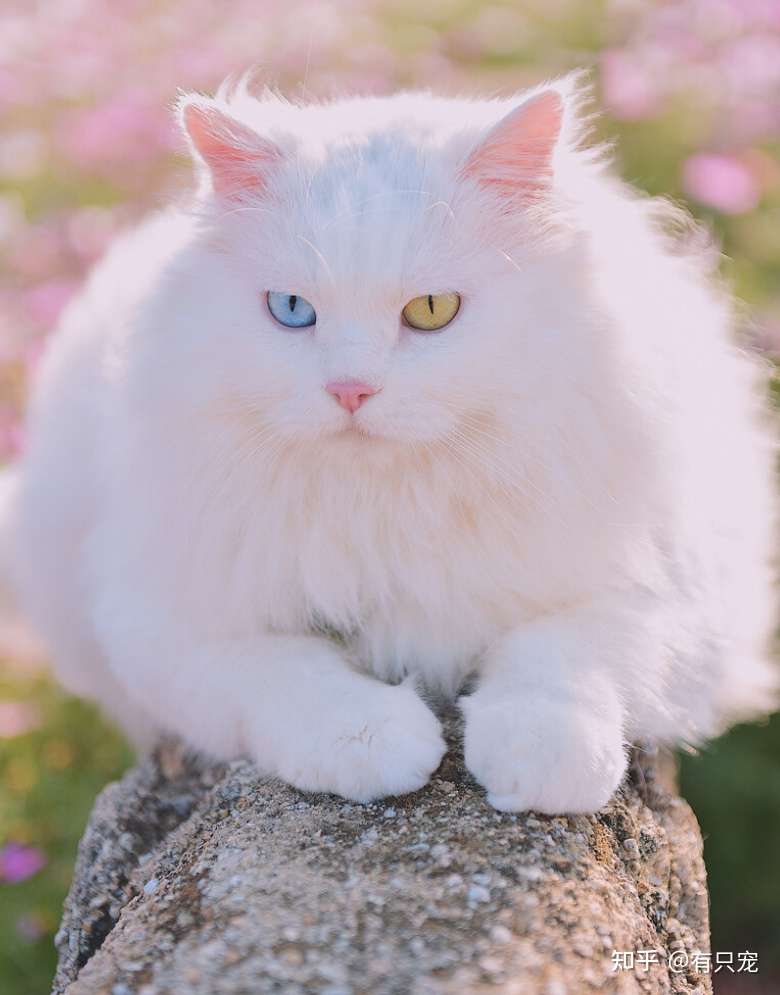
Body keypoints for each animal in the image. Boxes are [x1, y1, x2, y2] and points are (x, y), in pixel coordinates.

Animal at [3, 74, 776, 812]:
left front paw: (541, 763)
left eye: (432, 311)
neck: (394, 501)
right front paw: (375, 741)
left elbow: (562, 655)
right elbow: (293, 675)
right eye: (293, 310)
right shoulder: (166, 622)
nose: (350, 390)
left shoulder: (682, 599)